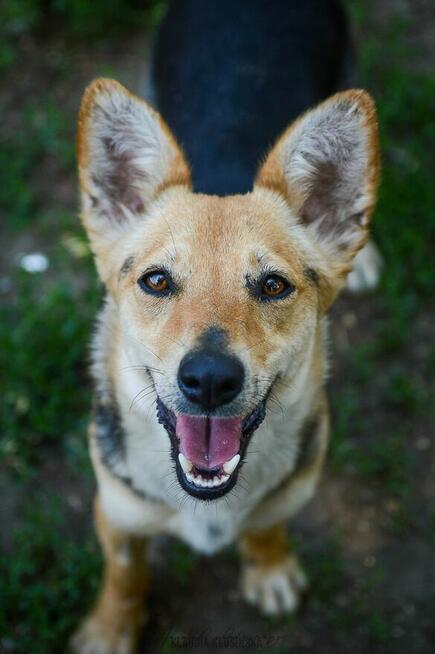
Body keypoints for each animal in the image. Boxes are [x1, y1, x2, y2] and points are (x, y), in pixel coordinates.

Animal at [70, 1, 380, 654]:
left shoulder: (289, 494)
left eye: (273, 286)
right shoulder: (116, 511)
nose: (209, 379)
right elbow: (125, 575)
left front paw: (270, 568)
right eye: (157, 281)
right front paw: (110, 629)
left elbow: (266, 529)